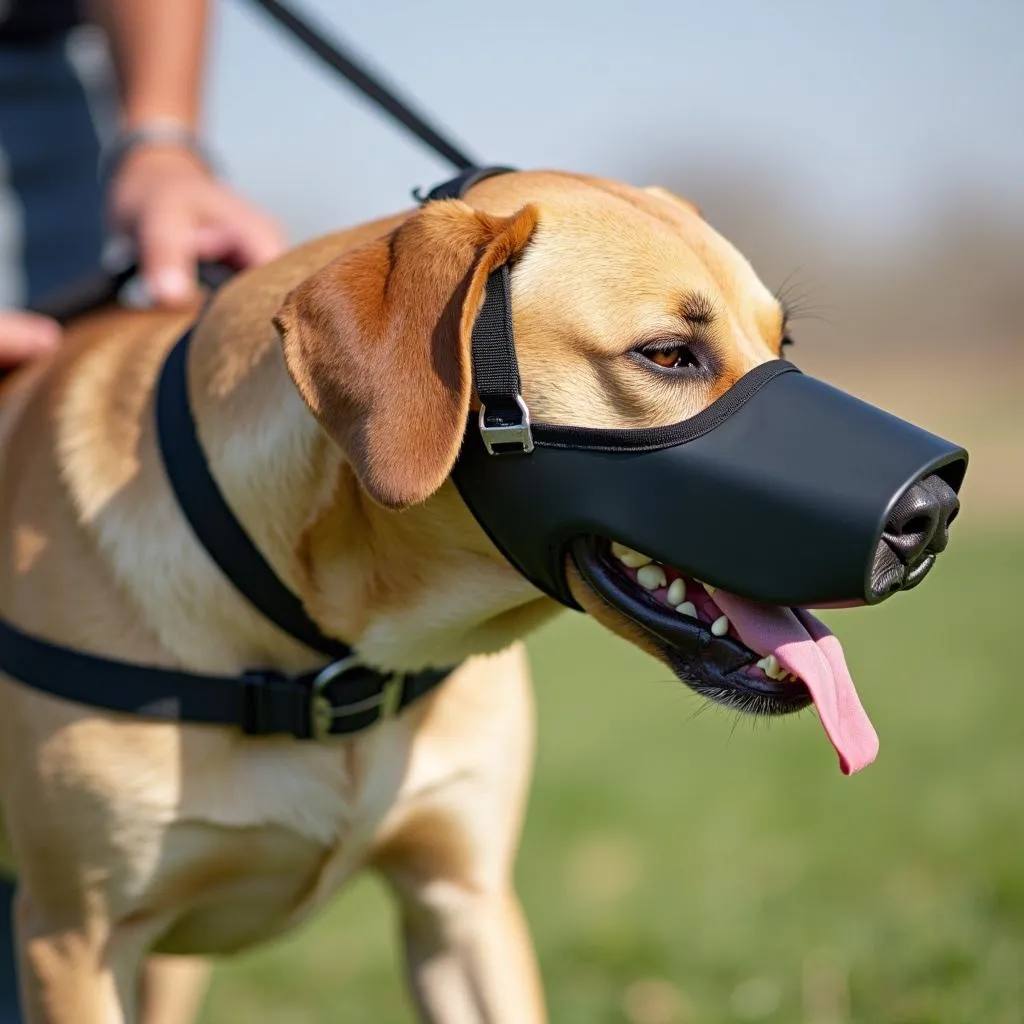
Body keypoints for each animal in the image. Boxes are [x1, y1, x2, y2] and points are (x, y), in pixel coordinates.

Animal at [0, 172, 851, 1019]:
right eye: (669, 355)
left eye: (782, 345)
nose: (897, 525)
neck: (334, 652)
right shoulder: (73, 940)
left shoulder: (462, 899)